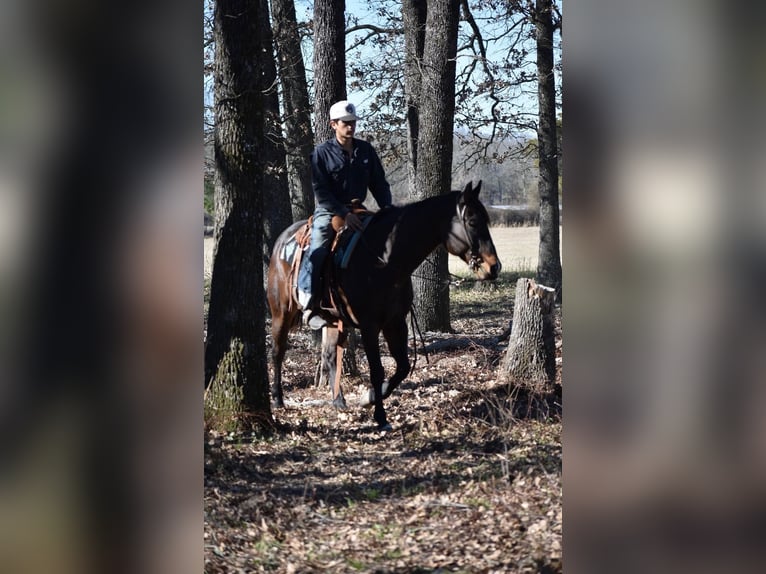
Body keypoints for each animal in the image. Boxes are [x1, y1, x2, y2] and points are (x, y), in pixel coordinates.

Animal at [266, 180, 501, 430]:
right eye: (473, 222)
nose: (494, 267)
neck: (384, 261)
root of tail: (282, 241)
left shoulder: (395, 323)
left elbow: (403, 367)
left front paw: (368, 398)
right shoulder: (370, 326)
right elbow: (377, 371)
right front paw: (380, 415)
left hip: (333, 320)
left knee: (329, 357)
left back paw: (339, 401)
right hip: (281, 313)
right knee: (278, 352)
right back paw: (278, 399)